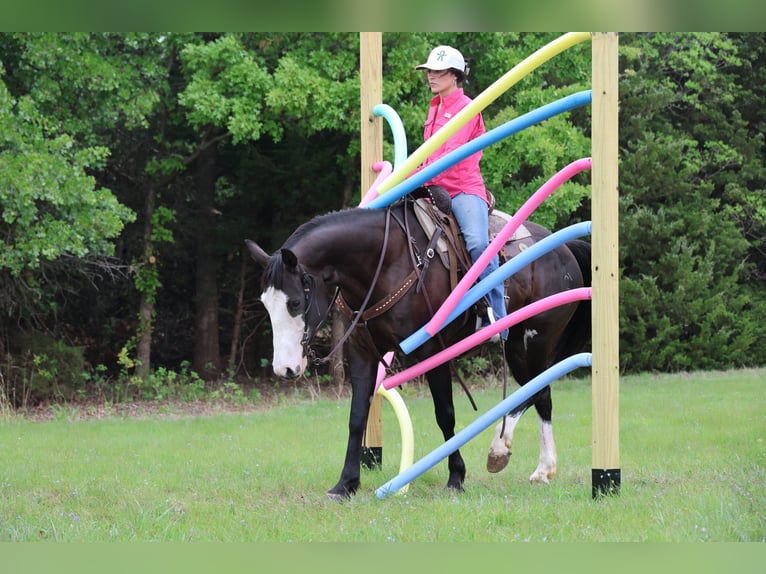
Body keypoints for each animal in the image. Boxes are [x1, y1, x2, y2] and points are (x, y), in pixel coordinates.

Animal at [246, 192, 591, 499]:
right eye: (266, 304)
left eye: (295, 302)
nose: (285, 368)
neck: (385, 262)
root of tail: (562, 248)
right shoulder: (362, 354)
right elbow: (357, 418)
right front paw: (346, 484)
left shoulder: (433, 353)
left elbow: (445, 413)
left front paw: (456, 477)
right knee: (535, 391)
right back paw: (512, 457)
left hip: (533, 342)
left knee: (541, 393)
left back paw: (530, 463)